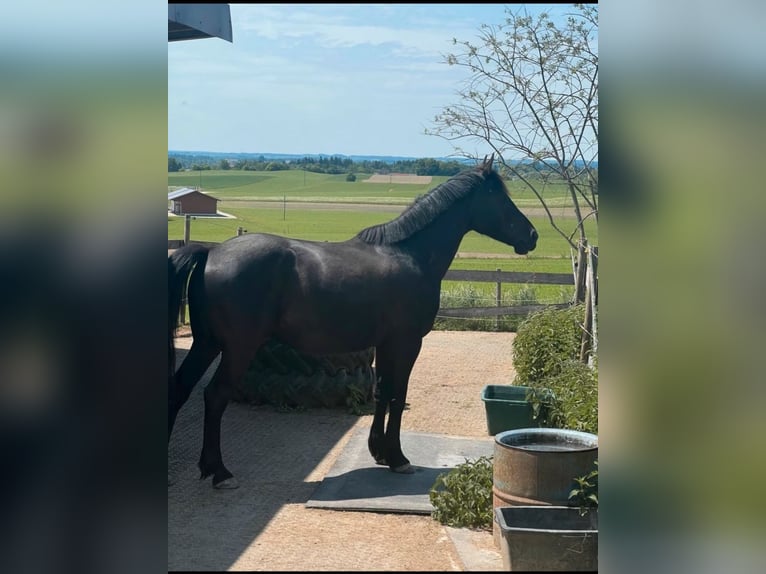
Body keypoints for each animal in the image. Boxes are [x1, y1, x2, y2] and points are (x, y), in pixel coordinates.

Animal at [168, 154, 538, 489]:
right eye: (499, 196)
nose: (532, 235)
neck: (410, 254)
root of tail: (211, 252)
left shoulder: (386, 344)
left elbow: (383, 392)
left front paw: (380, 452)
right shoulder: (408, 342)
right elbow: (397, 394)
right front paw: (398, 458)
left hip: (206, 343)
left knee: (180, 388)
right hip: (237, 348)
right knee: (215, 395)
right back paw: (220, 472)